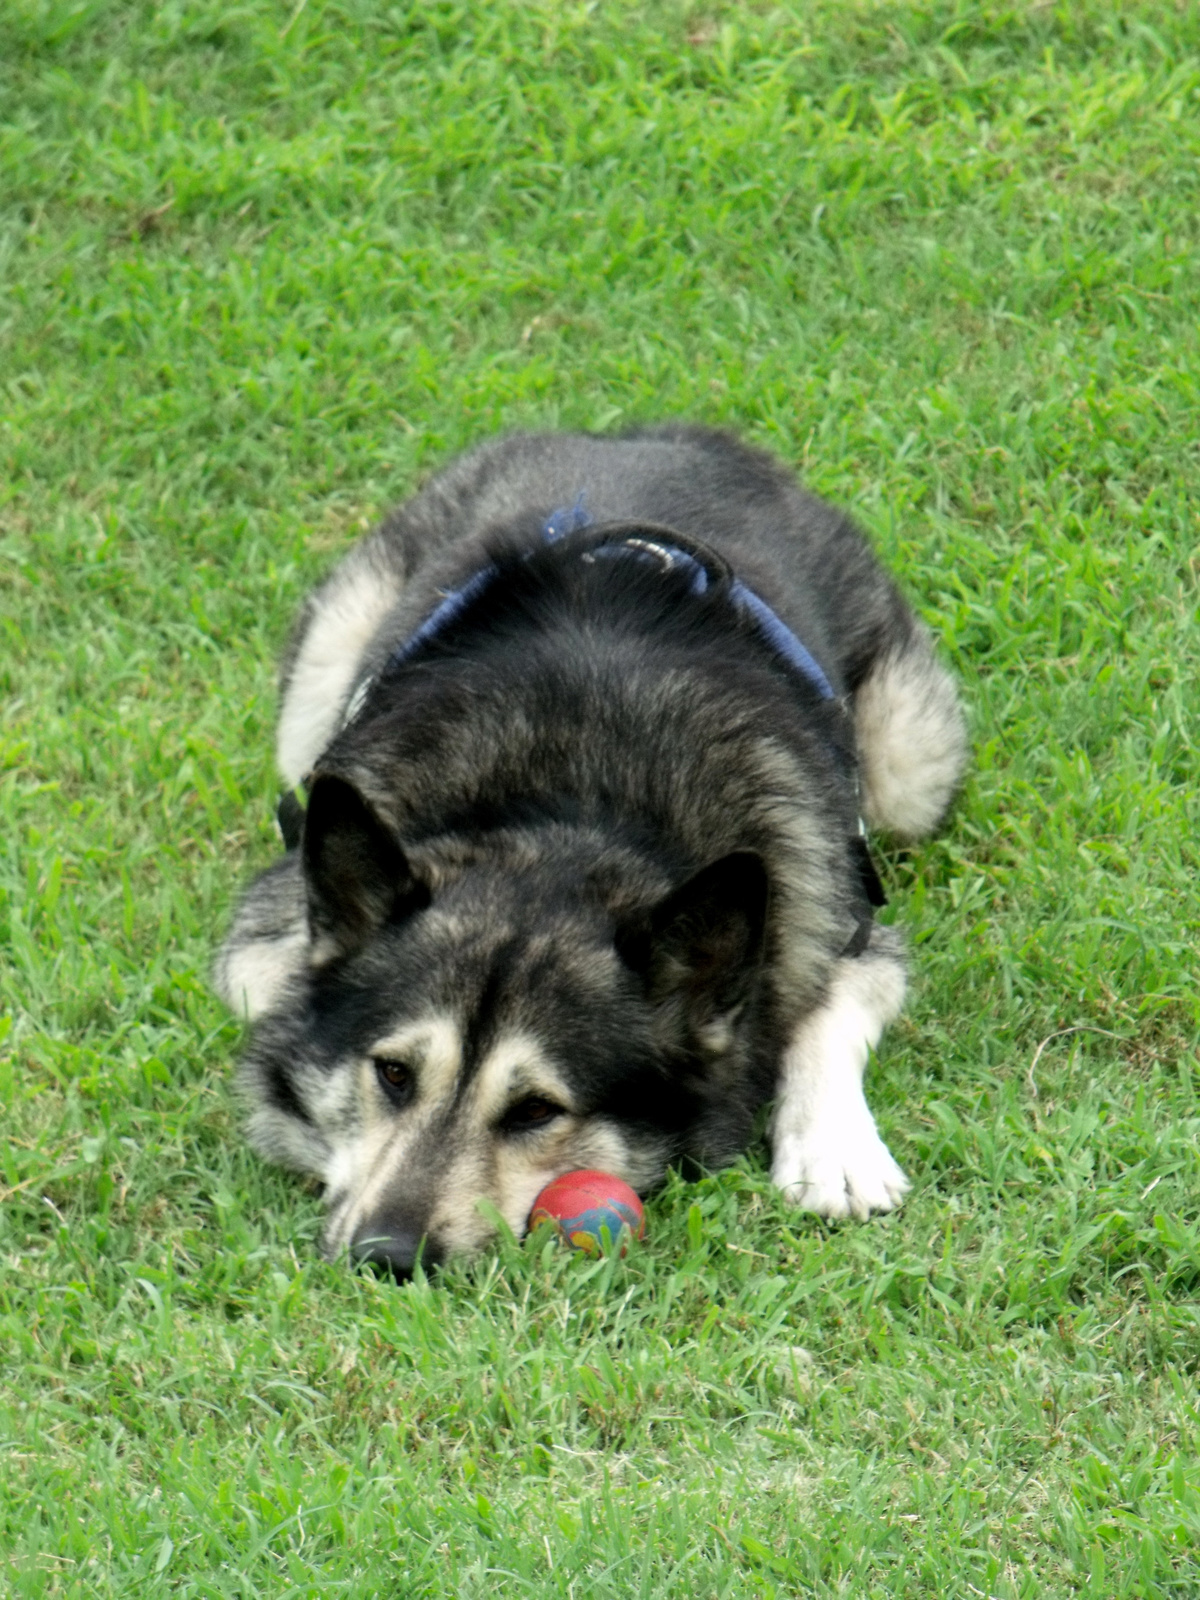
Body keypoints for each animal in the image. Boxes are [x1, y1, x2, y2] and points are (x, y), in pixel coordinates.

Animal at [216, 425, 966, 1273]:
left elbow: (832, 1004)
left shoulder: (843, 910)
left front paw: (833, 1145)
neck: (571, 809)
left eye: (536, 1111)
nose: (387, 1258)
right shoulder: (262, 935)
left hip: (910, 772)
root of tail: (647, 434)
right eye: (394, 1075)